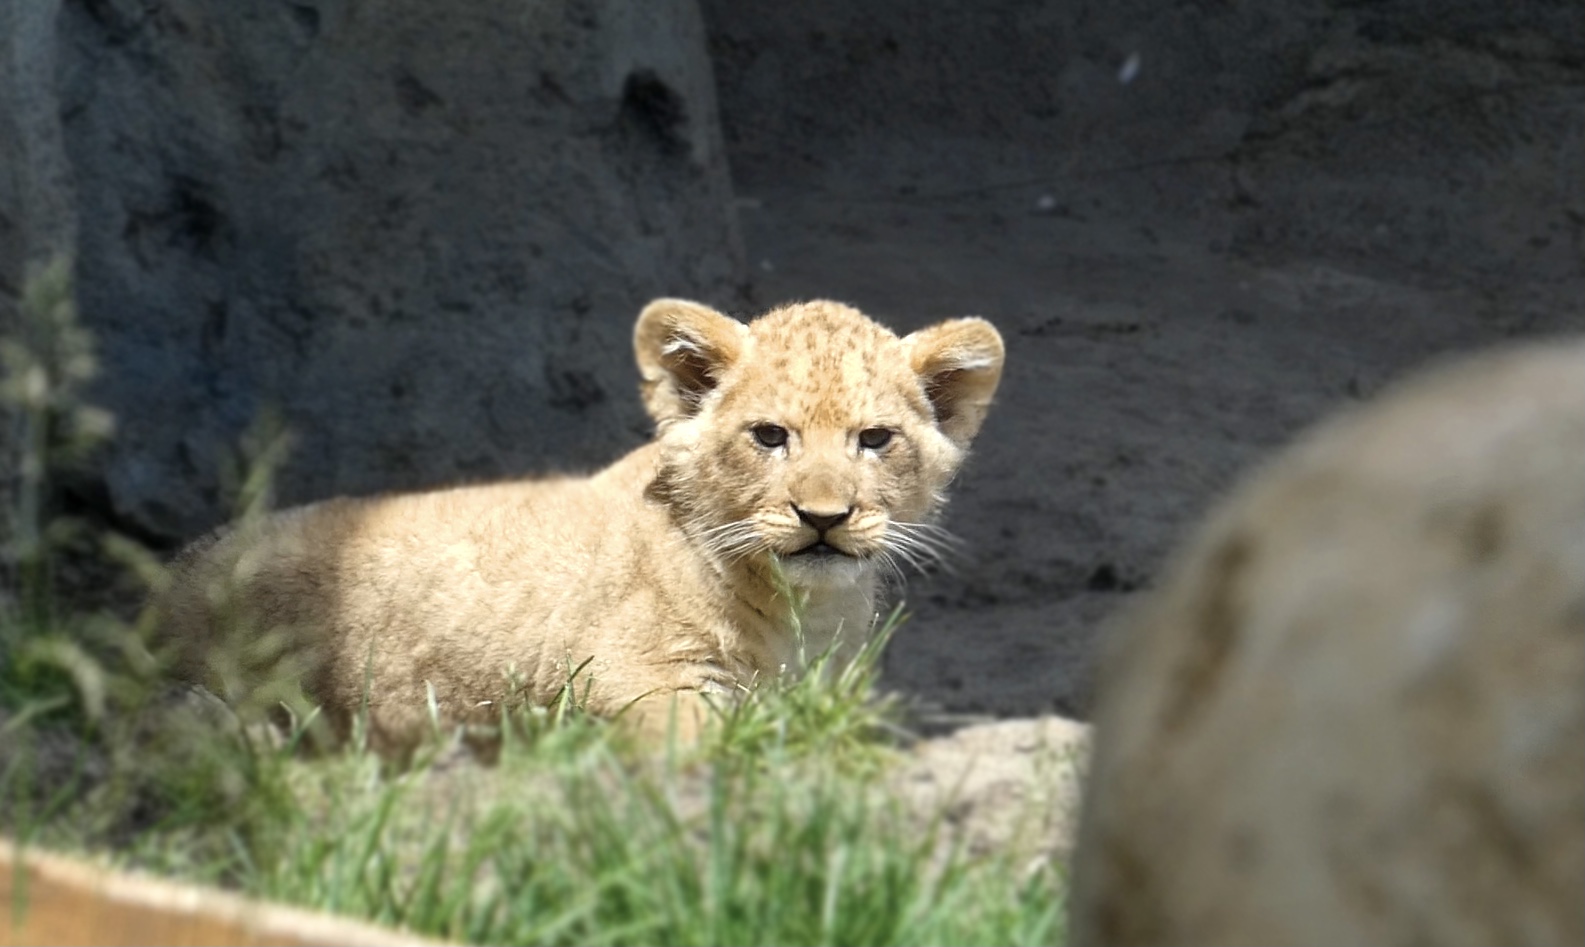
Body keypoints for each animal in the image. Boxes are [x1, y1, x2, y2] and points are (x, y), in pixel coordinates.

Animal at [158, 298, 1005, 754]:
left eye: (875, 439)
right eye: (769, 436)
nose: (824, 517)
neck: (809, 607)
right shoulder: (627, 677)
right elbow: (707, 745)